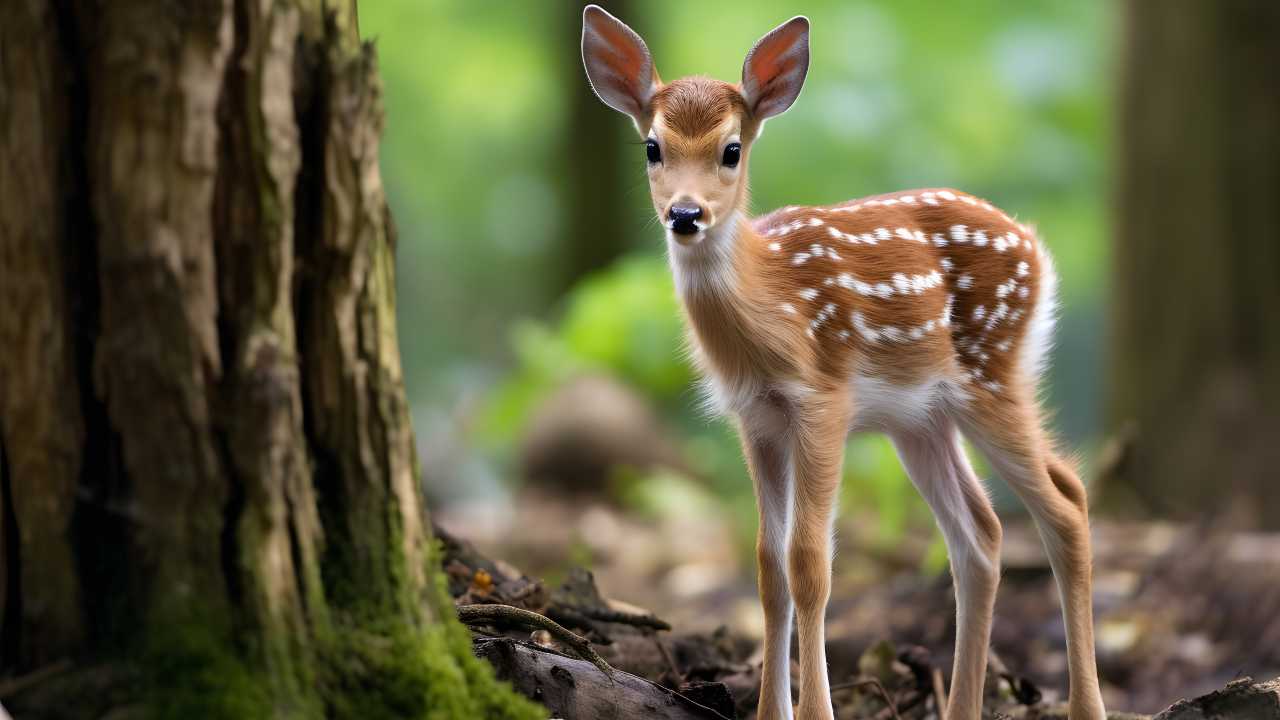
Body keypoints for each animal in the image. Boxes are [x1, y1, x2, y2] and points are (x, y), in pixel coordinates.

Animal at [586, 7, 1105, 717]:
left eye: (731, 149)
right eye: (652, 147)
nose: (685, 214)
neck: (767, 312)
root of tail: (1036, 248)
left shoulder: (823, 401)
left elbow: (810, 563)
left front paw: (813, 711)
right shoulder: (757, 420)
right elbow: (768, 566)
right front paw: (770, 711)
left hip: (993, 372)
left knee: (1066, 504)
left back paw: (1084, 705)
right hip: (921, 420)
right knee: (982, 533)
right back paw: (962, 705)